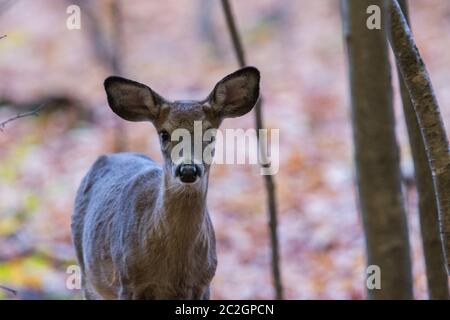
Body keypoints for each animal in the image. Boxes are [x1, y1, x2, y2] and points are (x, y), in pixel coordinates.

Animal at [71, 66, 260, 298]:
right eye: (164, 134)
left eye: (210, 134)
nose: (187, 169)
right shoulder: (128, 281)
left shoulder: (204, 282)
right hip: (88, 275)